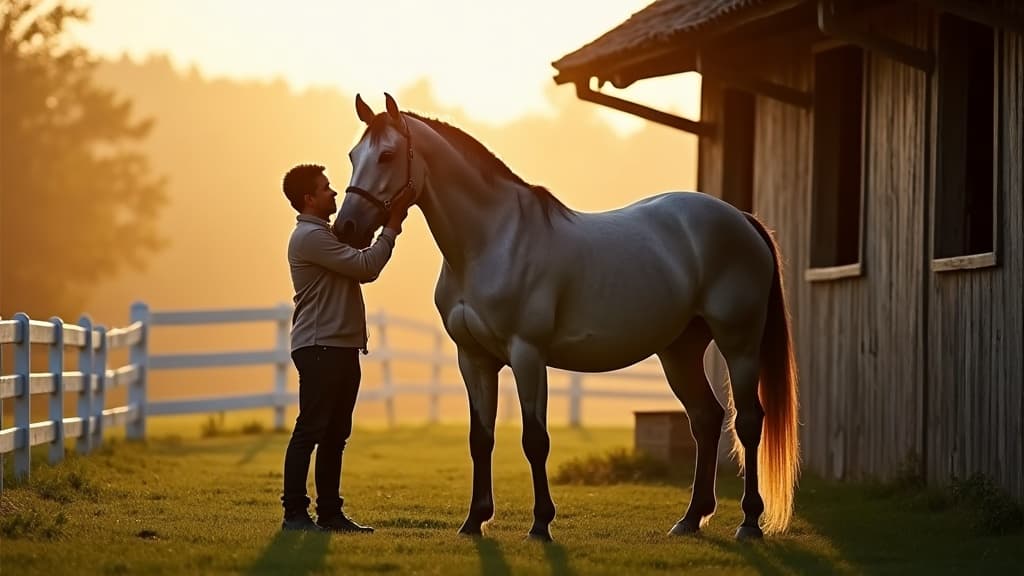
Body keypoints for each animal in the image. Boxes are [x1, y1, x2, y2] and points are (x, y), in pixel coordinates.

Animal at [336, 93, 800, 541]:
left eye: (388, 155)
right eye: (353, 154)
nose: (347, 228)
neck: (492, 242)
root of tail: (741, 219)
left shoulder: (527, 355)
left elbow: (534, 440)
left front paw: (541, 525)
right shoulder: (474, 359)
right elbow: (480, 439)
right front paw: (474, 521)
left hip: (739, 343)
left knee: (748, 422)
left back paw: (749, 522)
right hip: (680, 351)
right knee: (706, 419)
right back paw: (690, 519)